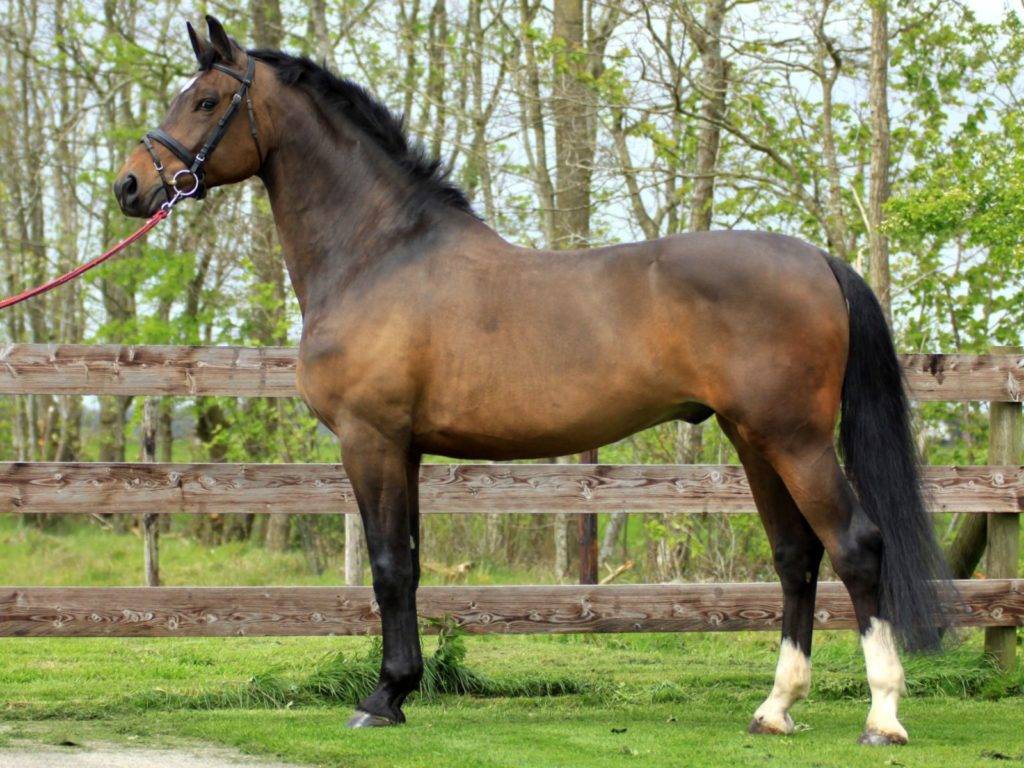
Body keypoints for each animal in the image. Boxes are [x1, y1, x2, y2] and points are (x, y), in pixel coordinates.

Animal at [114, 16, 952, 743]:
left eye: (206, 100)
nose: (130, 186)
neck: (379, 255)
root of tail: (818, 260)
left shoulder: (370, 439)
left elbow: (387, 567)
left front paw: (382, 699)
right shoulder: (405, 449)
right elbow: (408, 567)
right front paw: (403, 688)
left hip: (795, 439)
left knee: (855, 545)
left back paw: (882, 716)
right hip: (754, 439)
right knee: (795, 556)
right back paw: (775, 709)